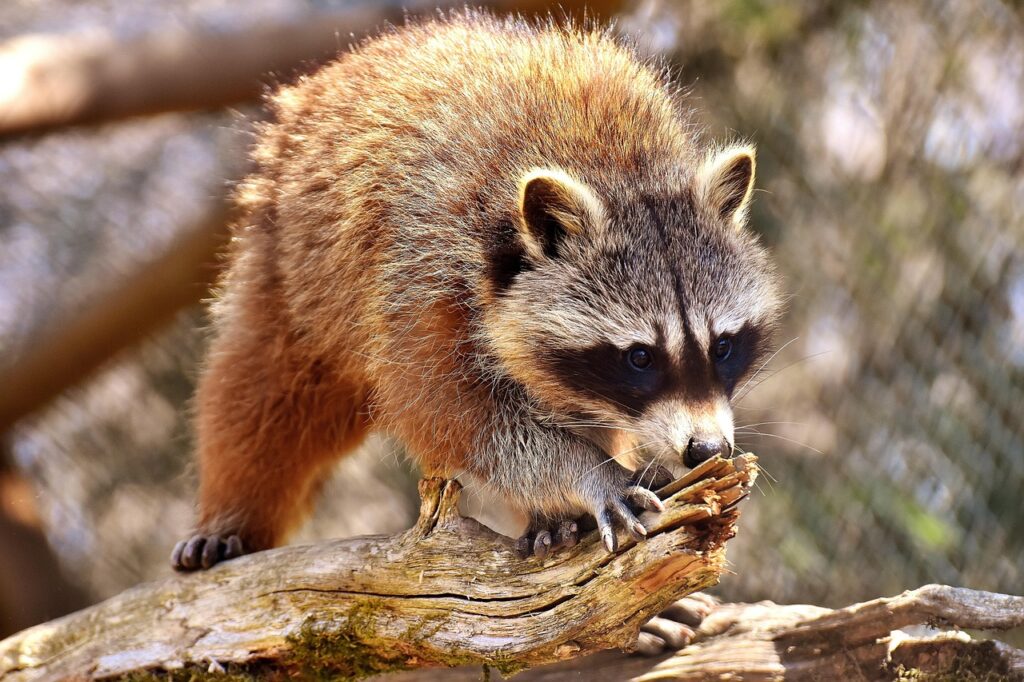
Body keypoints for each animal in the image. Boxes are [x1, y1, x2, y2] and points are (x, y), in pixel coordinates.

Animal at [171, 10, 783, 571]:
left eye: (722, 346)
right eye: (640, 357)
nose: (707, 449)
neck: (620, 166)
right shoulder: (423, 266)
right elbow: (453, 412)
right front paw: (585, 472)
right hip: (290, 257)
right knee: (265, 387)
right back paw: (232, 510)